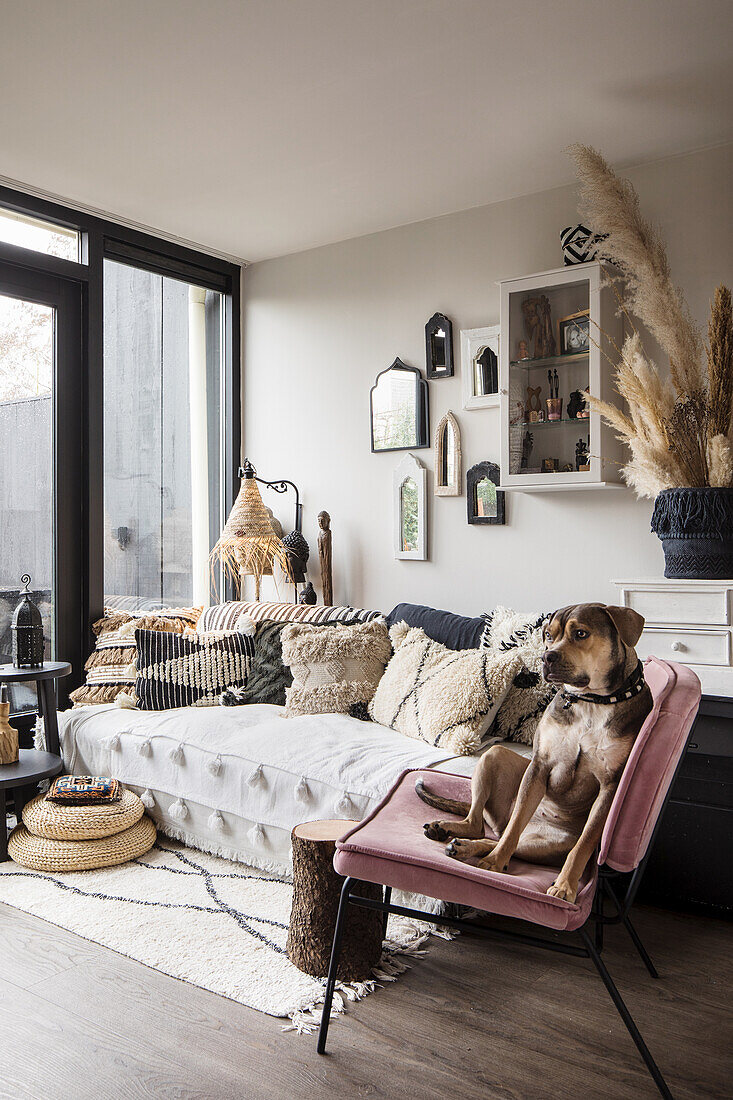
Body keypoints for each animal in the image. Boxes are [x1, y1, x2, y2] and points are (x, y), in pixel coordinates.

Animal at [413, 602, 647, 902]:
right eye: (548, 634)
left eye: (581, 633)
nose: (547, 657)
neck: (591, 702)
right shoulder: (539, 766)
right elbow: (514, 827)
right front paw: (495, 862)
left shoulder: (609, 786)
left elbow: (583, 845)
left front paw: (565, 886)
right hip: (494, 756)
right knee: (487, 827)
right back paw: (457, 836)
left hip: (545, 844)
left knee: (491, 836)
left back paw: (463, 846)